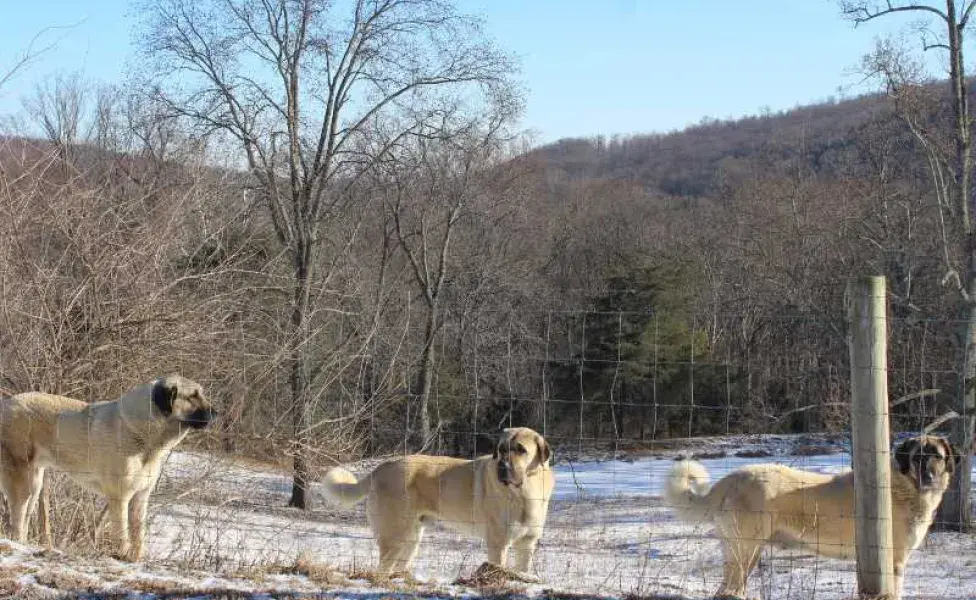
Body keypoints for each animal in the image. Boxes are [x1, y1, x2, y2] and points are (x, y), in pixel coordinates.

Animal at [0, 376, 214, 564]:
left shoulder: (140, 497)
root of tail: (6, 403)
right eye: (193, 395)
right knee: (17, 517)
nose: (216, 413)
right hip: (22, 482)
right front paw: (121, 556)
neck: (145, 436)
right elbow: (122, 534)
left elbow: (138, 535)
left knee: (25, 517)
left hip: (35, 483)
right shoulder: (120, 497)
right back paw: (18, 545)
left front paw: (135, 560)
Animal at [326, 424, 556, 580]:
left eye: (521, 450)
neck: (525, 491)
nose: (502, 467)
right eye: (501, 449)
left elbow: (523, 571)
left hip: (411, 539)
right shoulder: (498, 543)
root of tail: (380, 468)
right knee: (382, 569)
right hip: (395, 537)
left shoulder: (527, 544)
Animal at [668, 434, 956, 596]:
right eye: (917, 457)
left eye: (937, 457)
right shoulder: (893, 564)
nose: (929, 478)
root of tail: (732, 478)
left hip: (740, 553)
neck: (903, 486)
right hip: (745, 551)